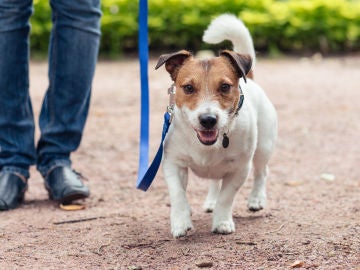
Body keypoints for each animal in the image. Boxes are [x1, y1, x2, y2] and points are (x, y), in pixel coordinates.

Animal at [155, 14, 278, 238]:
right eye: (188, 87)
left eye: (225, 86)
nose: (208, 119)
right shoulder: (173, 163)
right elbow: (178, 195)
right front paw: (181, 221)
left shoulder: (239, 168)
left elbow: (226, 197)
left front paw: (222, 222)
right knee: (214, 182)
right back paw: (211, 201)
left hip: (264, 147)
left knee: (261, 172)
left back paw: (256, 199)